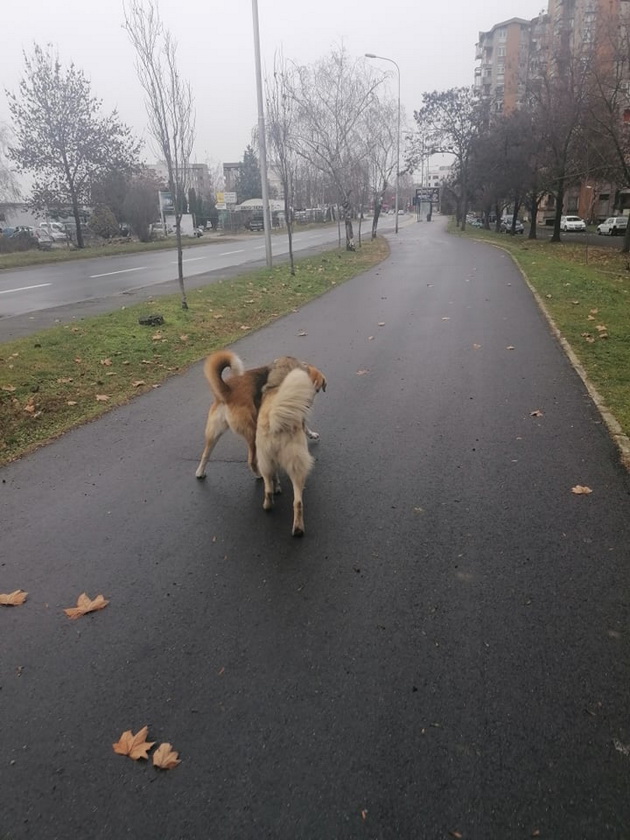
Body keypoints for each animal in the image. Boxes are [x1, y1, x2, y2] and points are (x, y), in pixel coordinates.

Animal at [196, 350, 326, 480]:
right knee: (251, 460)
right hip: (253, 433)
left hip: (213, 434)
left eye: (317, 390)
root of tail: (227, 392)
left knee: (205, 454)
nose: (306, 405)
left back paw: (200, 472)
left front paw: (311, 434)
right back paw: (260, 475)